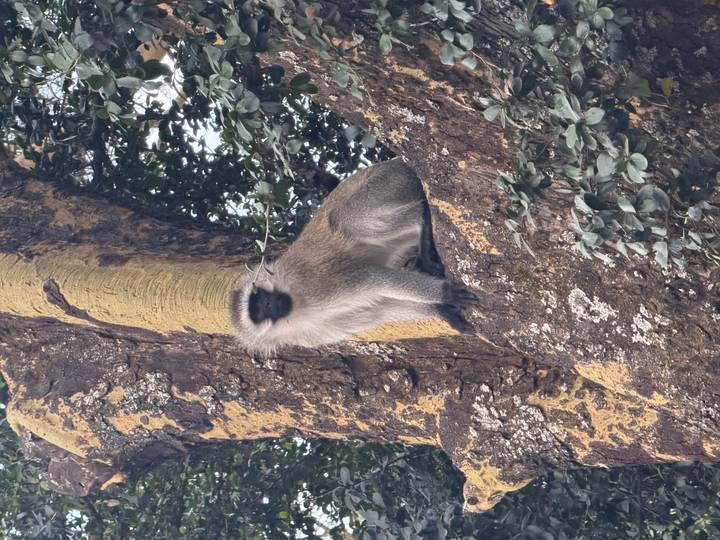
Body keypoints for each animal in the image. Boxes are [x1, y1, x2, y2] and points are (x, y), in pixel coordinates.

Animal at [229, 157, 477, 355]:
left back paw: (422, 225)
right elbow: (381, 308)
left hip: (390, 182)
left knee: (343, 218)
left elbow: (374, 278)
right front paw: (442, 312)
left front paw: (446, 294)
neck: (297, 310)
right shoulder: (310, 333)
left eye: (265, 301)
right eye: (262, 310)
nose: (277, 304)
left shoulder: (315, 284)